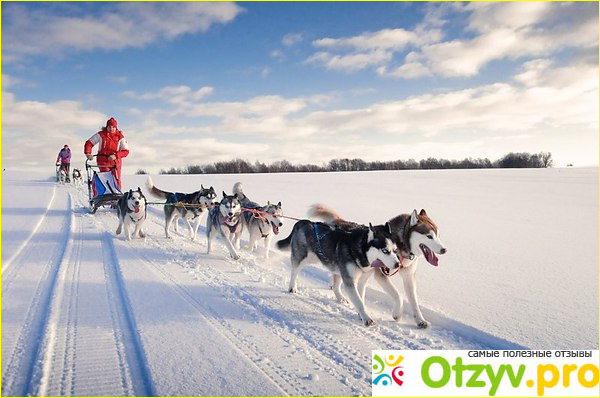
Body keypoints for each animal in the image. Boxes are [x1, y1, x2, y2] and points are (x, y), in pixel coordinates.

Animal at [310, 204, 446, 328]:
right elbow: (399, 296)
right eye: (429, 236)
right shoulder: (381, 275)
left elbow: (414, 301)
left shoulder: (409, 276)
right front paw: (397, 314)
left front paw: (420, 320)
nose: (444, 250)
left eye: (438, 235)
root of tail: (341, 222)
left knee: (336, 280)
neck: (401, 244)